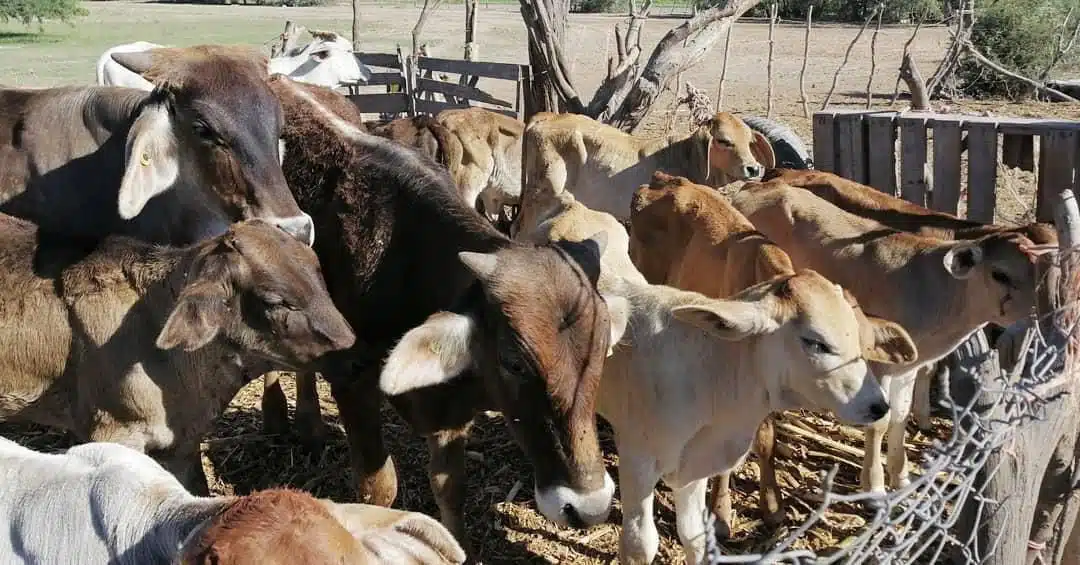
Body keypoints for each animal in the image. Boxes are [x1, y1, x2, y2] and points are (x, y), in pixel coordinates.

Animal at [514, 110, 777, 236]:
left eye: (749, 141)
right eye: (724, 141)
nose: (753, 168)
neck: (685, 155)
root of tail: (548, 117)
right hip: (544, 193)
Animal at [518, 194, 915, 565]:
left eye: (861, 341)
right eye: (815, 342)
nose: (877, 405)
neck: (712, 375)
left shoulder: (694, 467)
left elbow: (694, 535)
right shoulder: (638, 459)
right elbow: (640, 544)